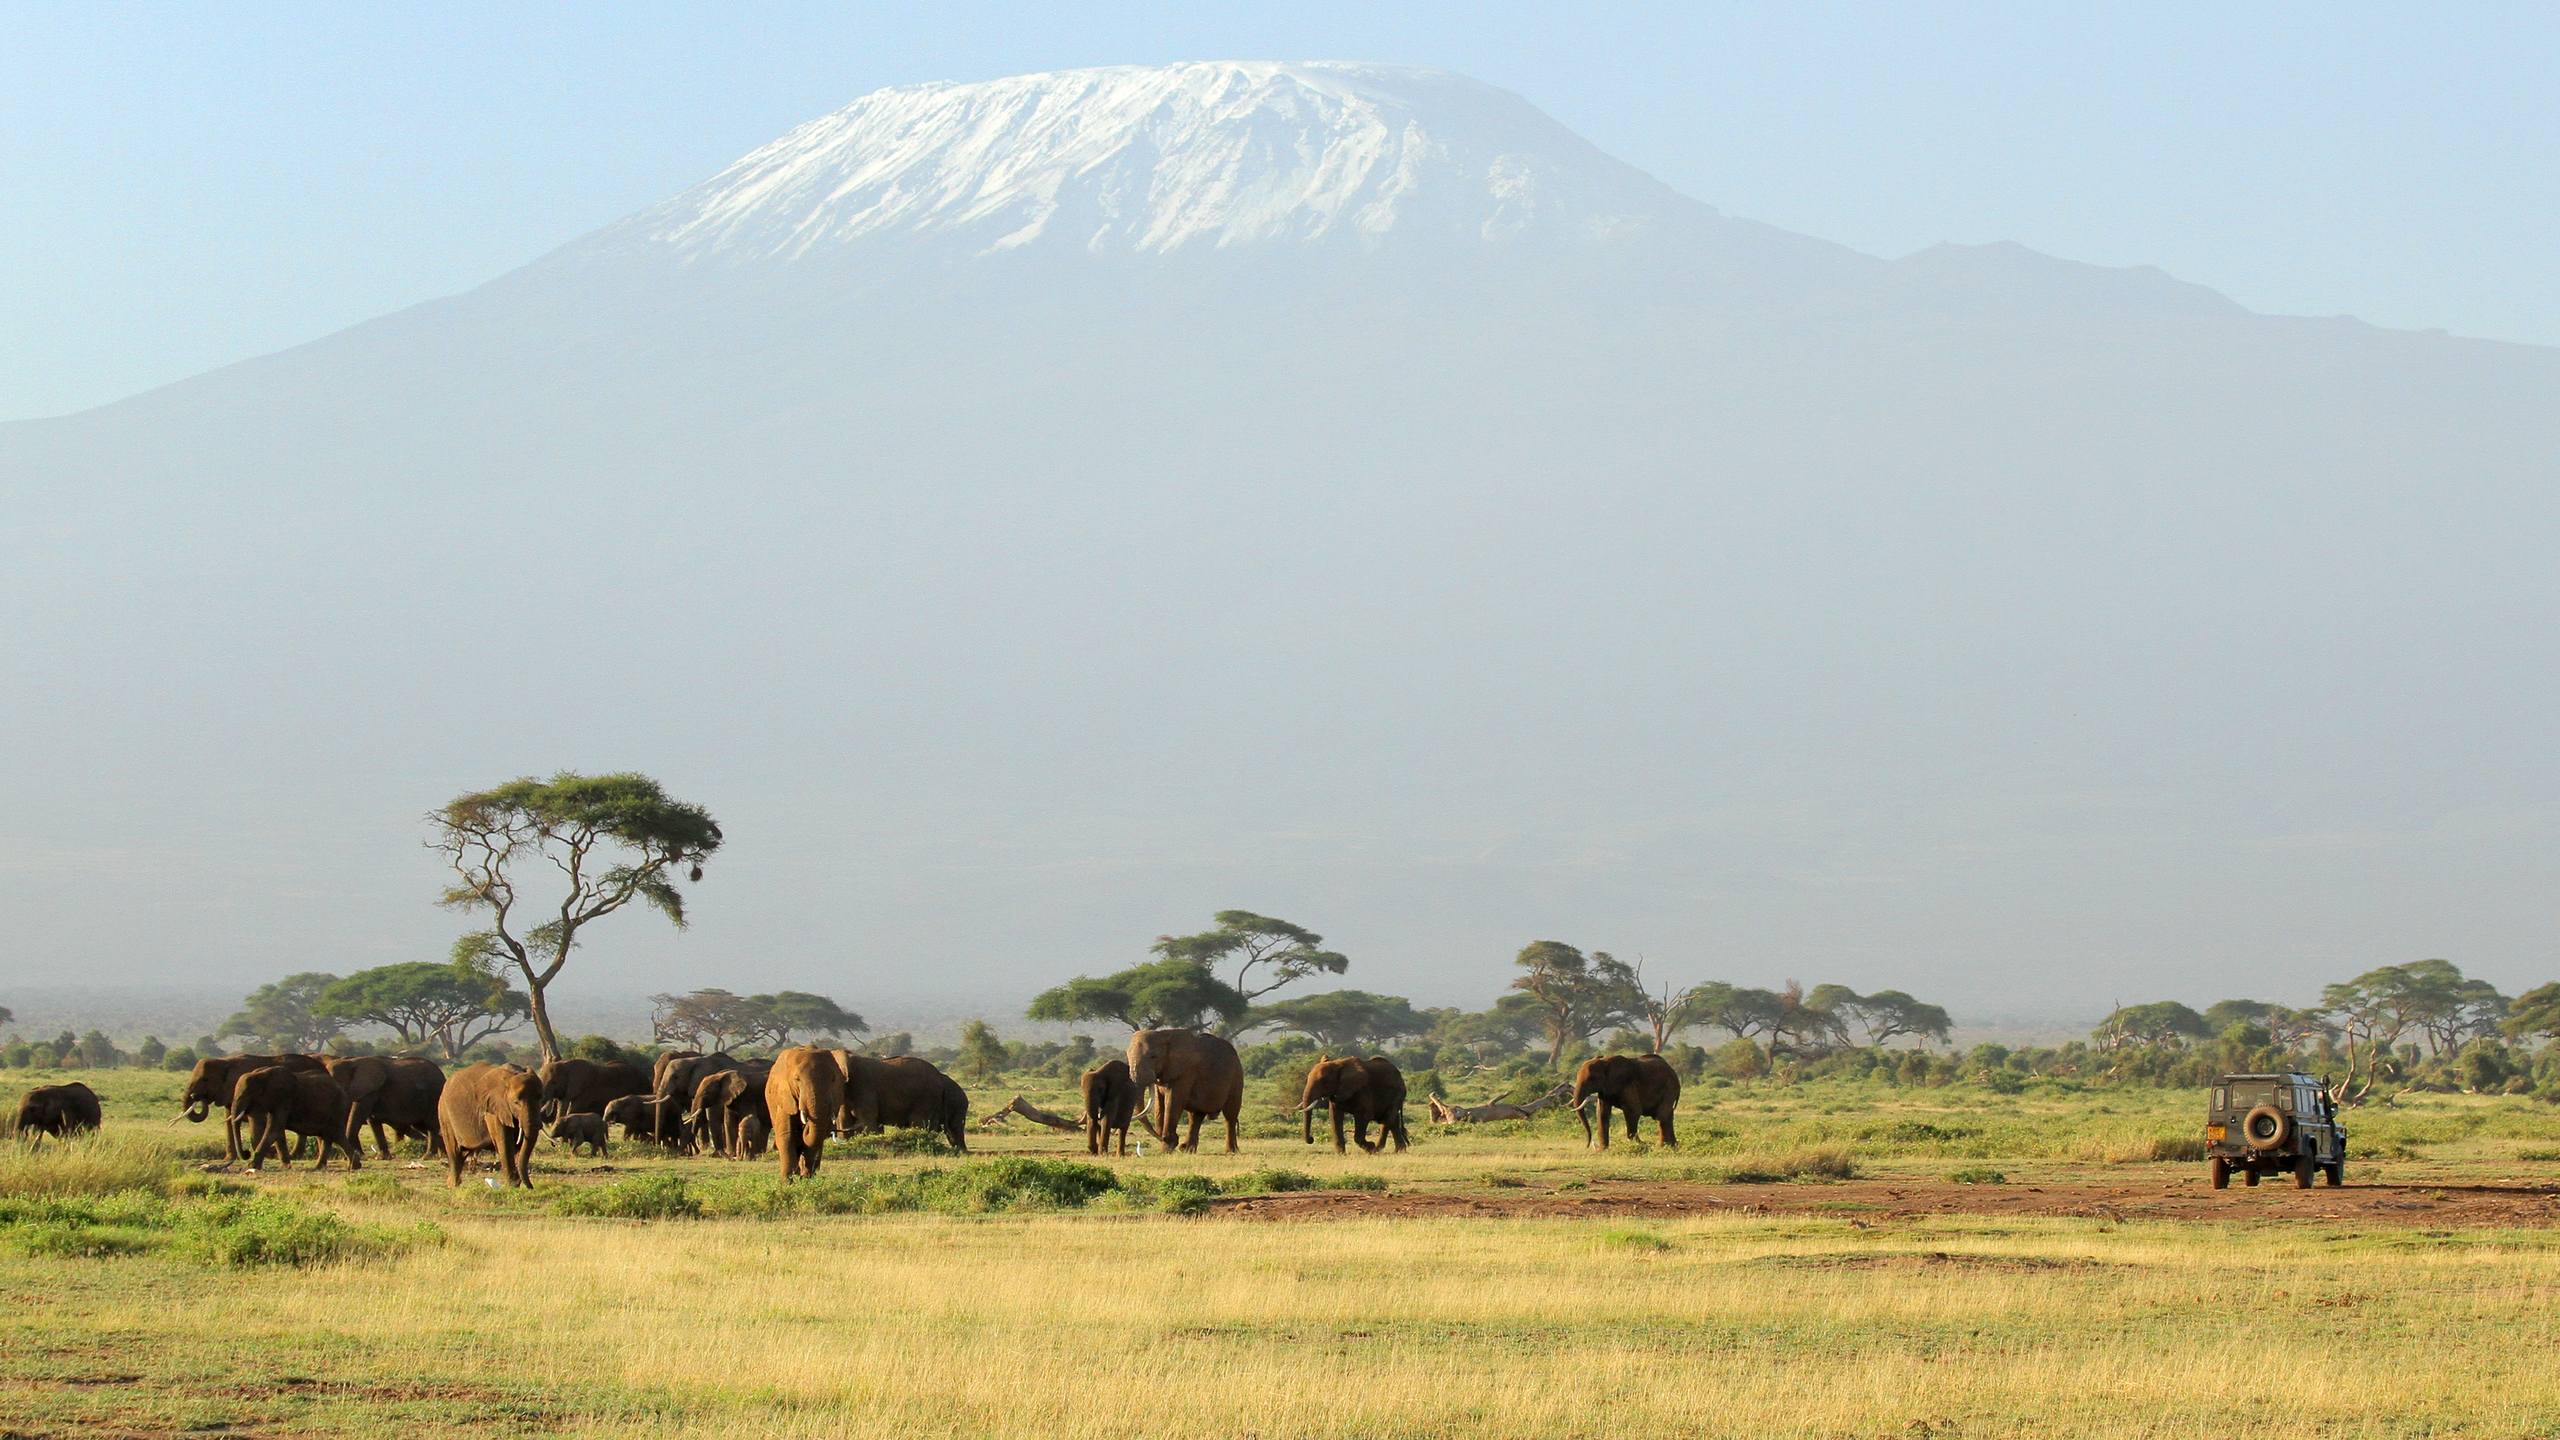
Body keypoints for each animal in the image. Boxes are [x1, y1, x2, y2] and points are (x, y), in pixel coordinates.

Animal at [232, 1065, 360, 1168]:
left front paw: (252, 1166)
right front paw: (286, 1167)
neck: (261, 1074)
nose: (247, 1152)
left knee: (335, 1134)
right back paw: (323, 1167)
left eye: (244, 1095)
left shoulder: (284, 1100)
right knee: (327, 1136)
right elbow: (278, 1132)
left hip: (338, 1108)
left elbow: (274, 1130)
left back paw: (352, 1166)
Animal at [762, 1040, 844, 1178]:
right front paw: (787, 1180)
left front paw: (806, 1178)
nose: (804, 1126)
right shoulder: (785, 1096)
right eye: (797, 1079)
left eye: (833, 1079)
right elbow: (786, 1134)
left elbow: (815, 1139)